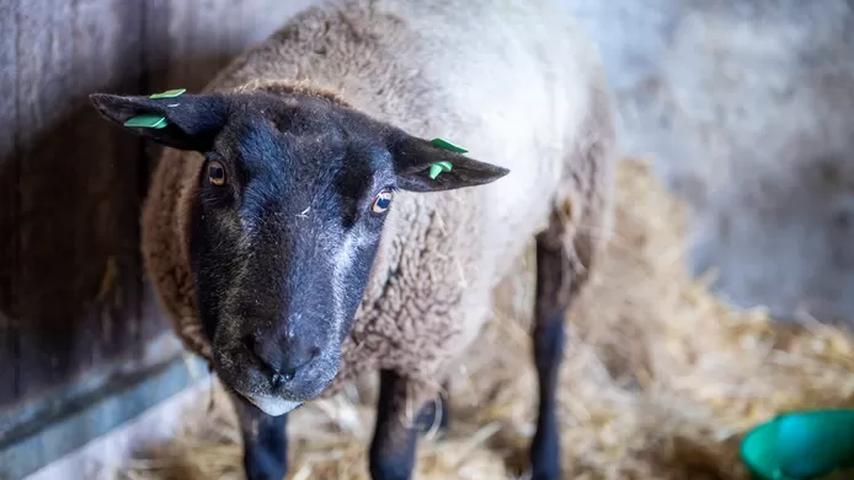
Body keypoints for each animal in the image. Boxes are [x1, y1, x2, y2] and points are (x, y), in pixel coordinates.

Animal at [90, 0, 616, 480]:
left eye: (383, 200)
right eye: (217, 172)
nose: (283, 361)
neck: (322, 78)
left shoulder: (412, 352)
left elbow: (390, 462)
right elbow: (264, 462)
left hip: (576, 208)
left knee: (548, 342)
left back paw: (546, 458)